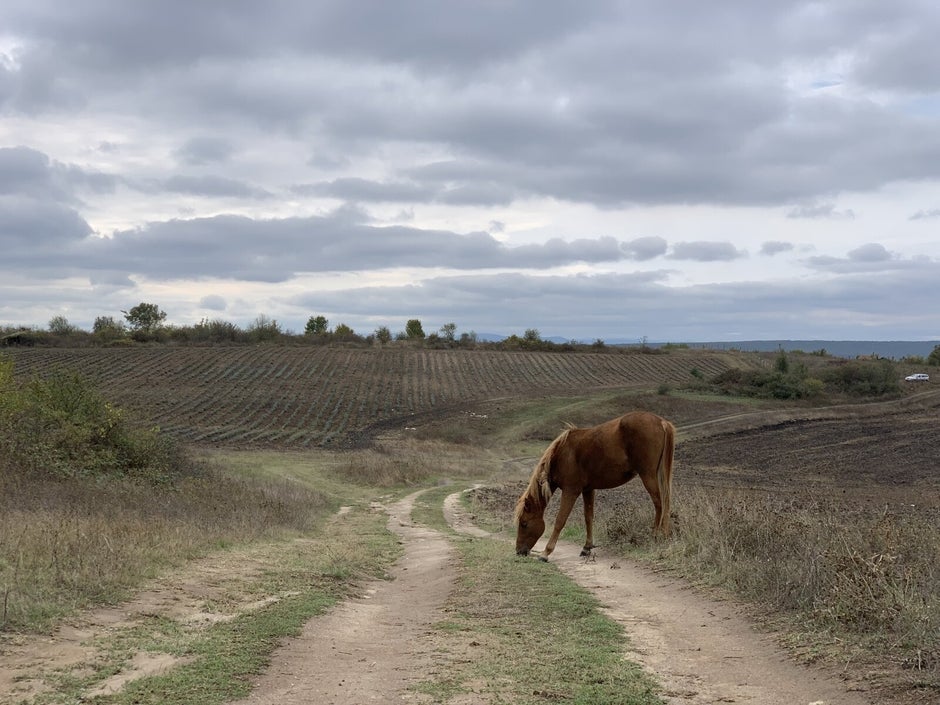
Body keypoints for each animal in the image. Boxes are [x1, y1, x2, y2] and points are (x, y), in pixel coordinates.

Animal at [516, 410, 676, 560]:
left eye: (524, 523)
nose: (519, 552)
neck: (562, 455)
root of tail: (661, 422)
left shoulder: (570, 491)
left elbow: (560, 520)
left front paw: (546, 553)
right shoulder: (588, 490)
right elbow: (588, 517)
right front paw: (587, 547)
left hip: (648, 476)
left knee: (660, 504)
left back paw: (656, 535)